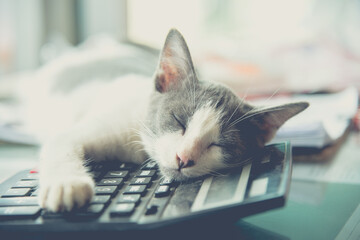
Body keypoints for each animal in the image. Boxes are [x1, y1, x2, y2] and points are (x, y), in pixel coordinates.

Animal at [29, 29, 308, 212]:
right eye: (178, 121)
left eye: (219, 144)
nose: (183, 158)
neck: (139, 148)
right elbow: (61, 143)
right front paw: (67, 185)